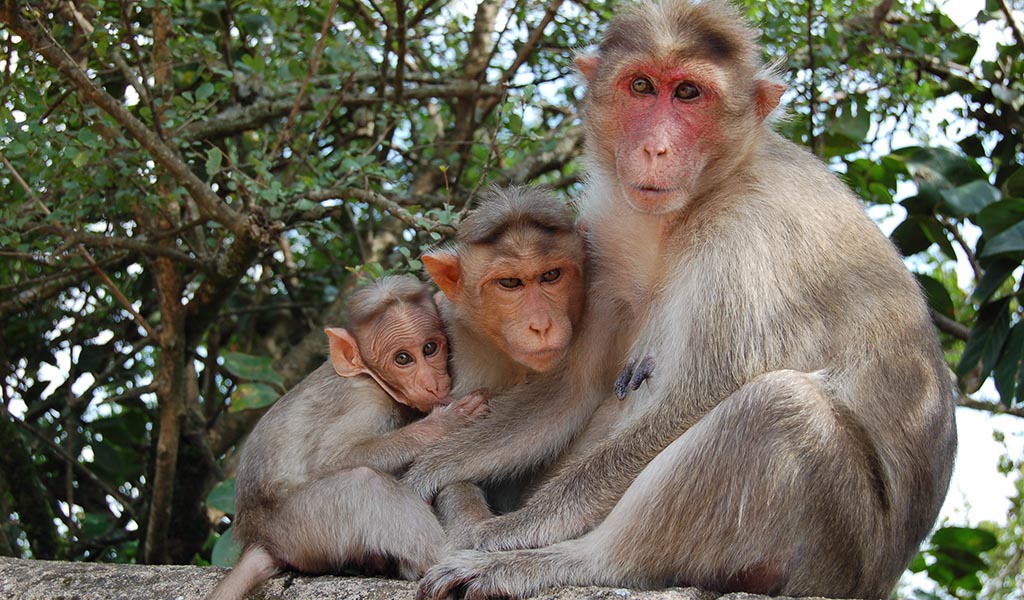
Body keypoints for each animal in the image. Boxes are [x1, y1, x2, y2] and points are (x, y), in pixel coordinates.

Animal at [208, 275, 488, 600]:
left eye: (430, 348)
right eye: (403, 358)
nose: (433, 383)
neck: (371, 376)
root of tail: (257, 537)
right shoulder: (363, 398)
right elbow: (332, 458)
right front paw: (445, 422)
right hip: (298, 525)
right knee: (364, 484)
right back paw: (452, 560)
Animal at [408, 2, 957, 599]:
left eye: (689, 94)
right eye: (642, 86)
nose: (655, 148)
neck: (688, 209)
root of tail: (881, 576)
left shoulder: (752, 227)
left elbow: (703, 393)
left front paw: (506, 533)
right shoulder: (604, 235)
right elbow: (575, 384)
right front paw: (425, 471)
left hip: (836, 553)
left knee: (779, 408)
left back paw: (567, 563)